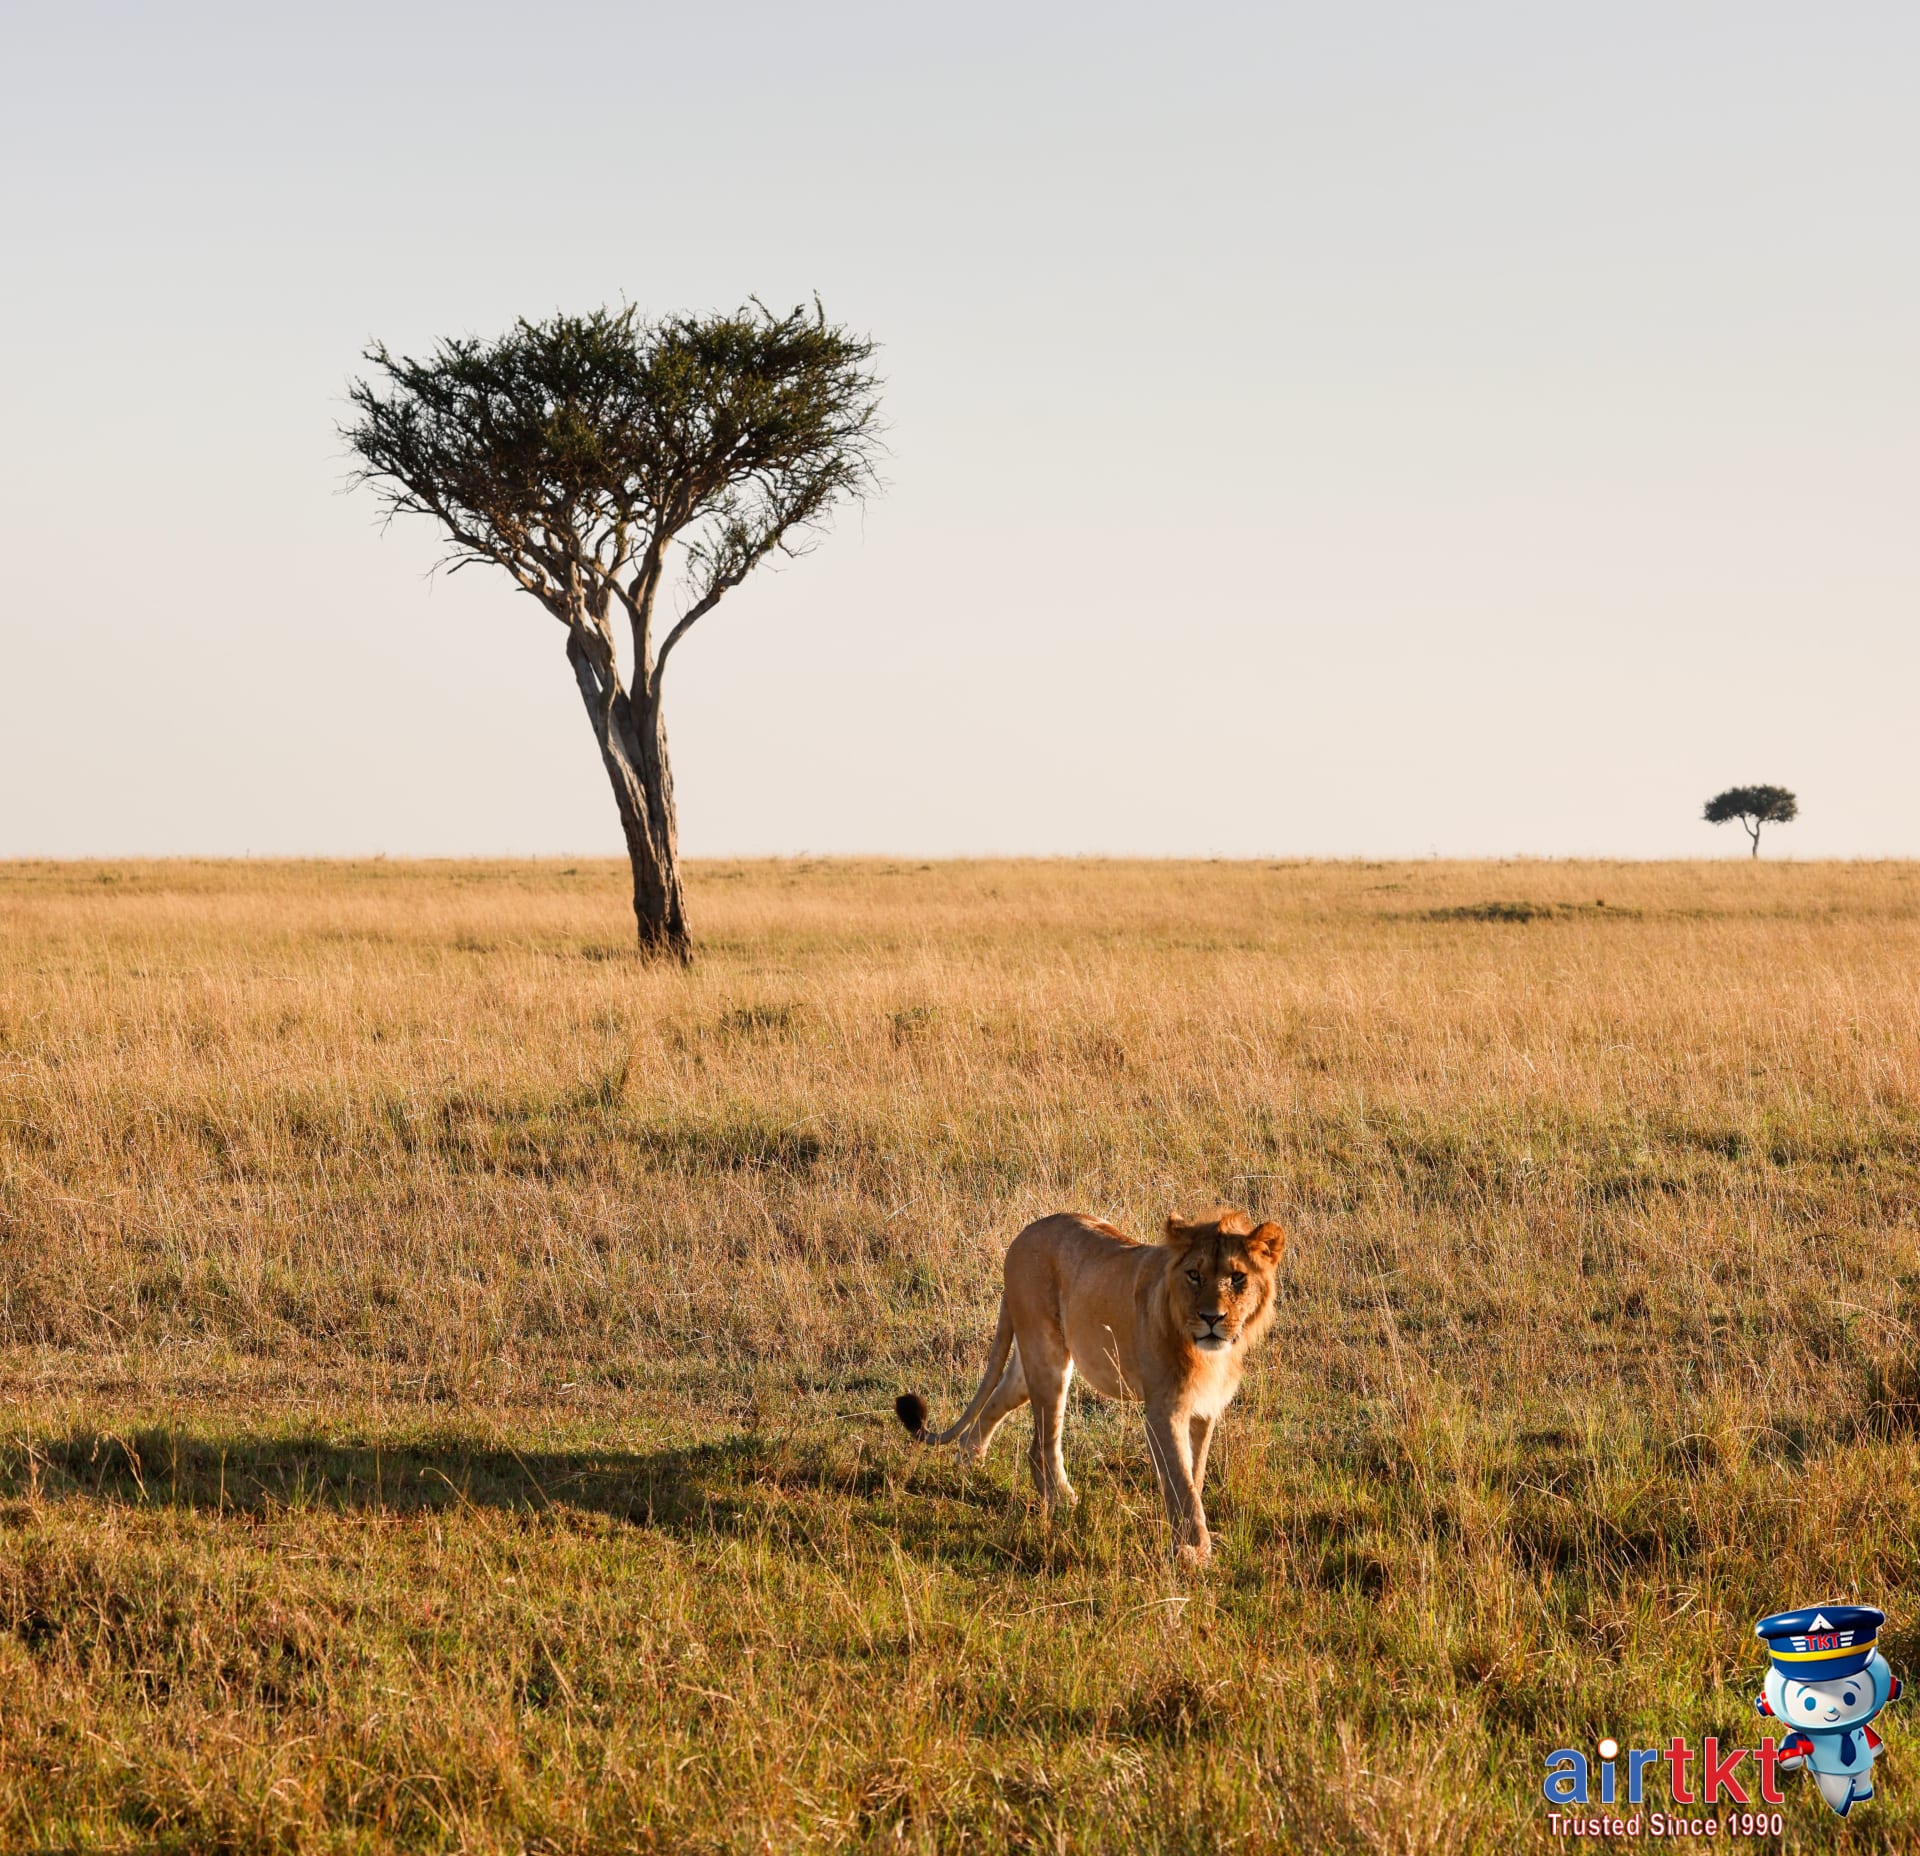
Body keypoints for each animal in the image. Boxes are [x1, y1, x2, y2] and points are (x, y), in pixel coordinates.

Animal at [896, 1207, 1285, 1562]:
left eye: (1238, 1278)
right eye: (1194, 1275)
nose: (1211, 1318)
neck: (1209, 1354)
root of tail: (1023, 1235)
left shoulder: (1204, 1411)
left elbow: (1196, 1474)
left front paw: (1192, 1540)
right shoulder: (1163, 1410)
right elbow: (1181, 1482)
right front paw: (1192, 1550)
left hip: (1027, 1368)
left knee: (994, 1412)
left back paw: (969, 1468)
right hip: (1049, 1359)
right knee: (1042, 1446)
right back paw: (1062, 1501)